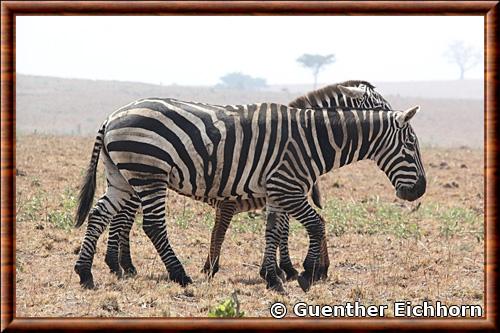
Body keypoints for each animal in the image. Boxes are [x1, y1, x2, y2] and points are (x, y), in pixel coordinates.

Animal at [74, 84, 426, 292]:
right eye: (410, 145)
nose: (420, 190)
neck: (313, 139)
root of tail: (111, 117)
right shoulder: (288, 187)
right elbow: (315, 224)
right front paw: (306, 273)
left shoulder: (277, 190)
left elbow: (274, 231)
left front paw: (273, 276)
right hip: (148, 173)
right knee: (151, 225)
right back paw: (178, 274)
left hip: (122, 176)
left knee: (100, 214)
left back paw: (86, 273)